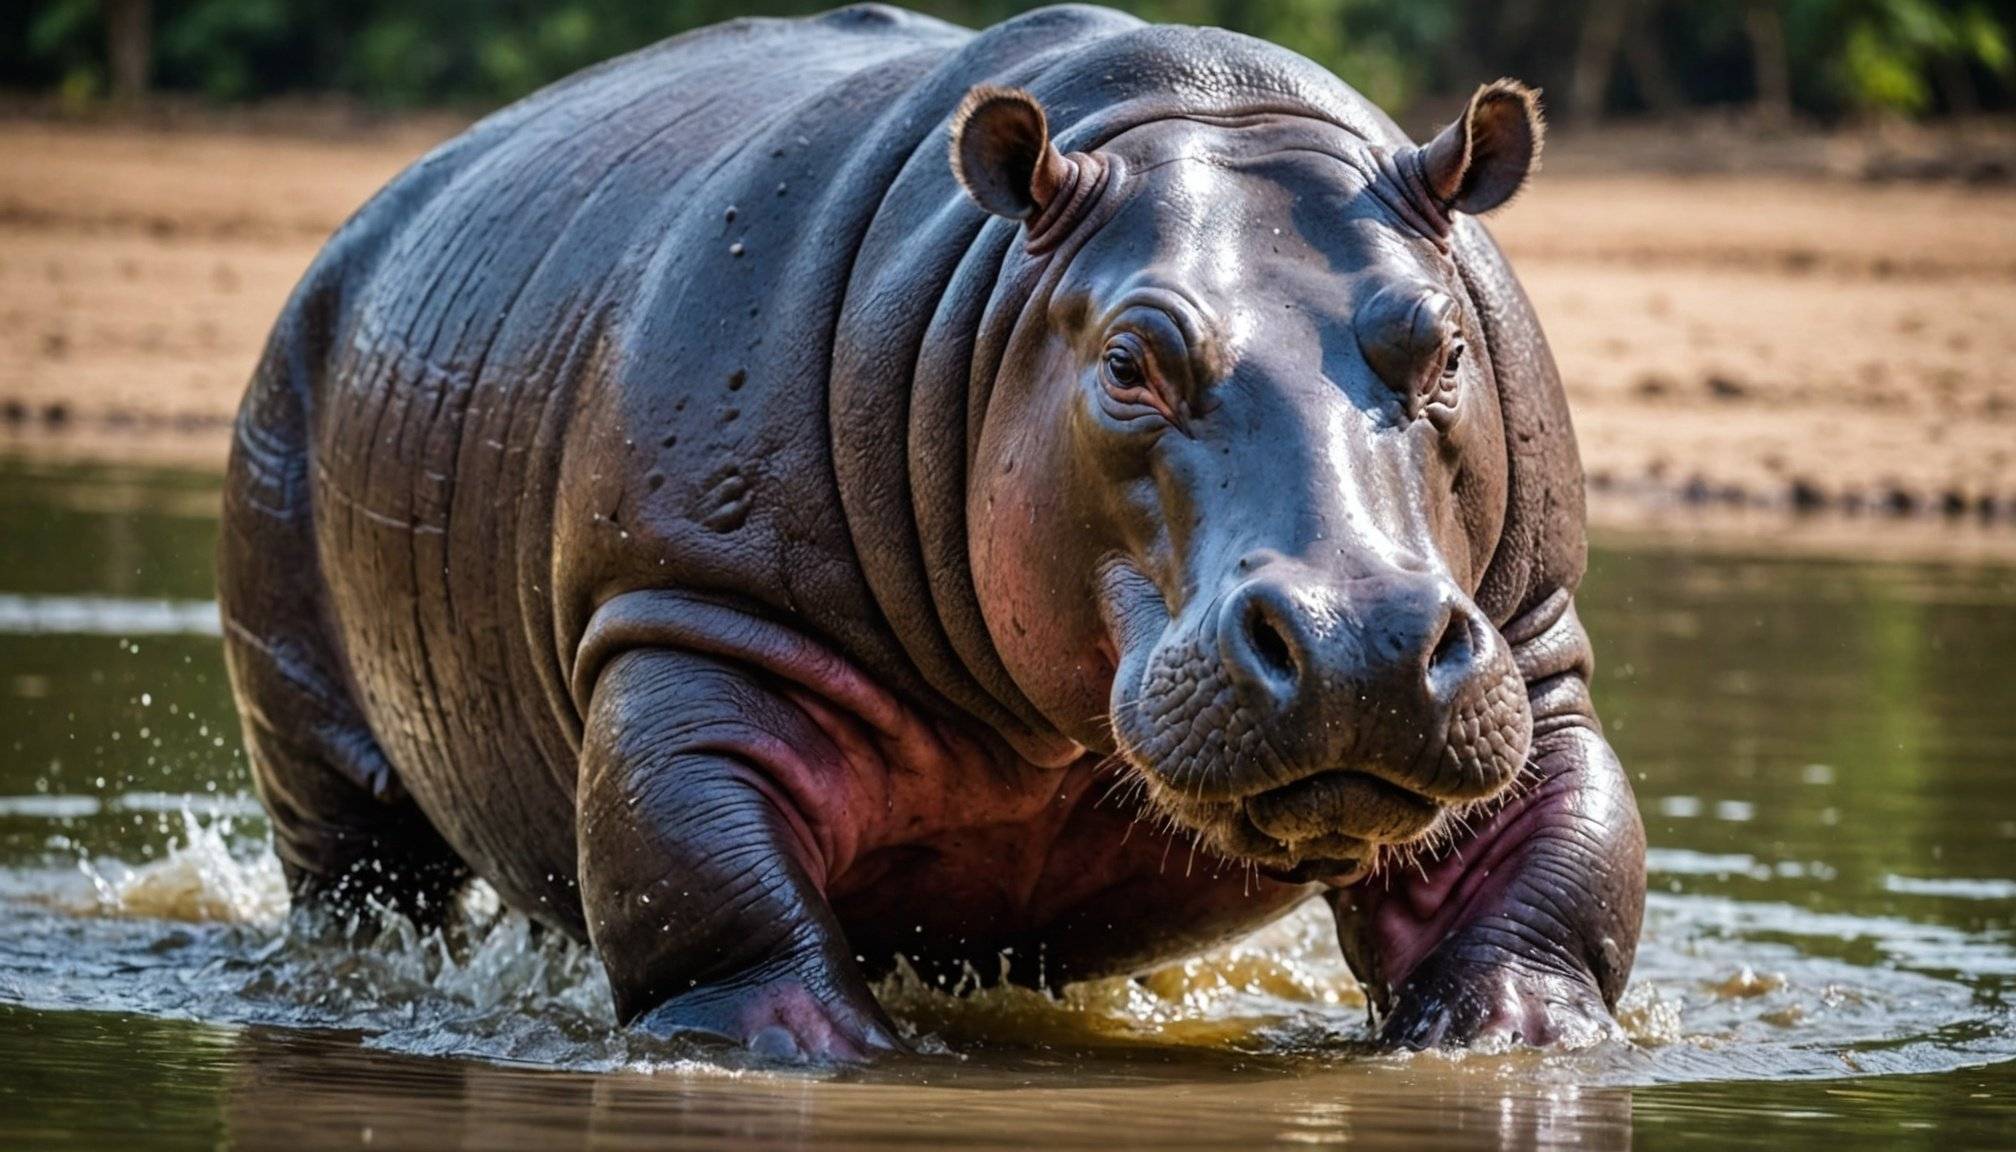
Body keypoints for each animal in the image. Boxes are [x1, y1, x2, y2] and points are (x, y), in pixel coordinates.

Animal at [219, 4, 1645, 1060]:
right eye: (1129, 360)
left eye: (1444, 346)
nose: (1363, 641)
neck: (1205, 108)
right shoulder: (696, 616)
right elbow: (711, 898)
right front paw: (840, 1064)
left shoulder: (1525, 644)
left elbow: (1560, 871)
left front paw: (1502, 1046)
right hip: (310, 697)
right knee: (366, 881)